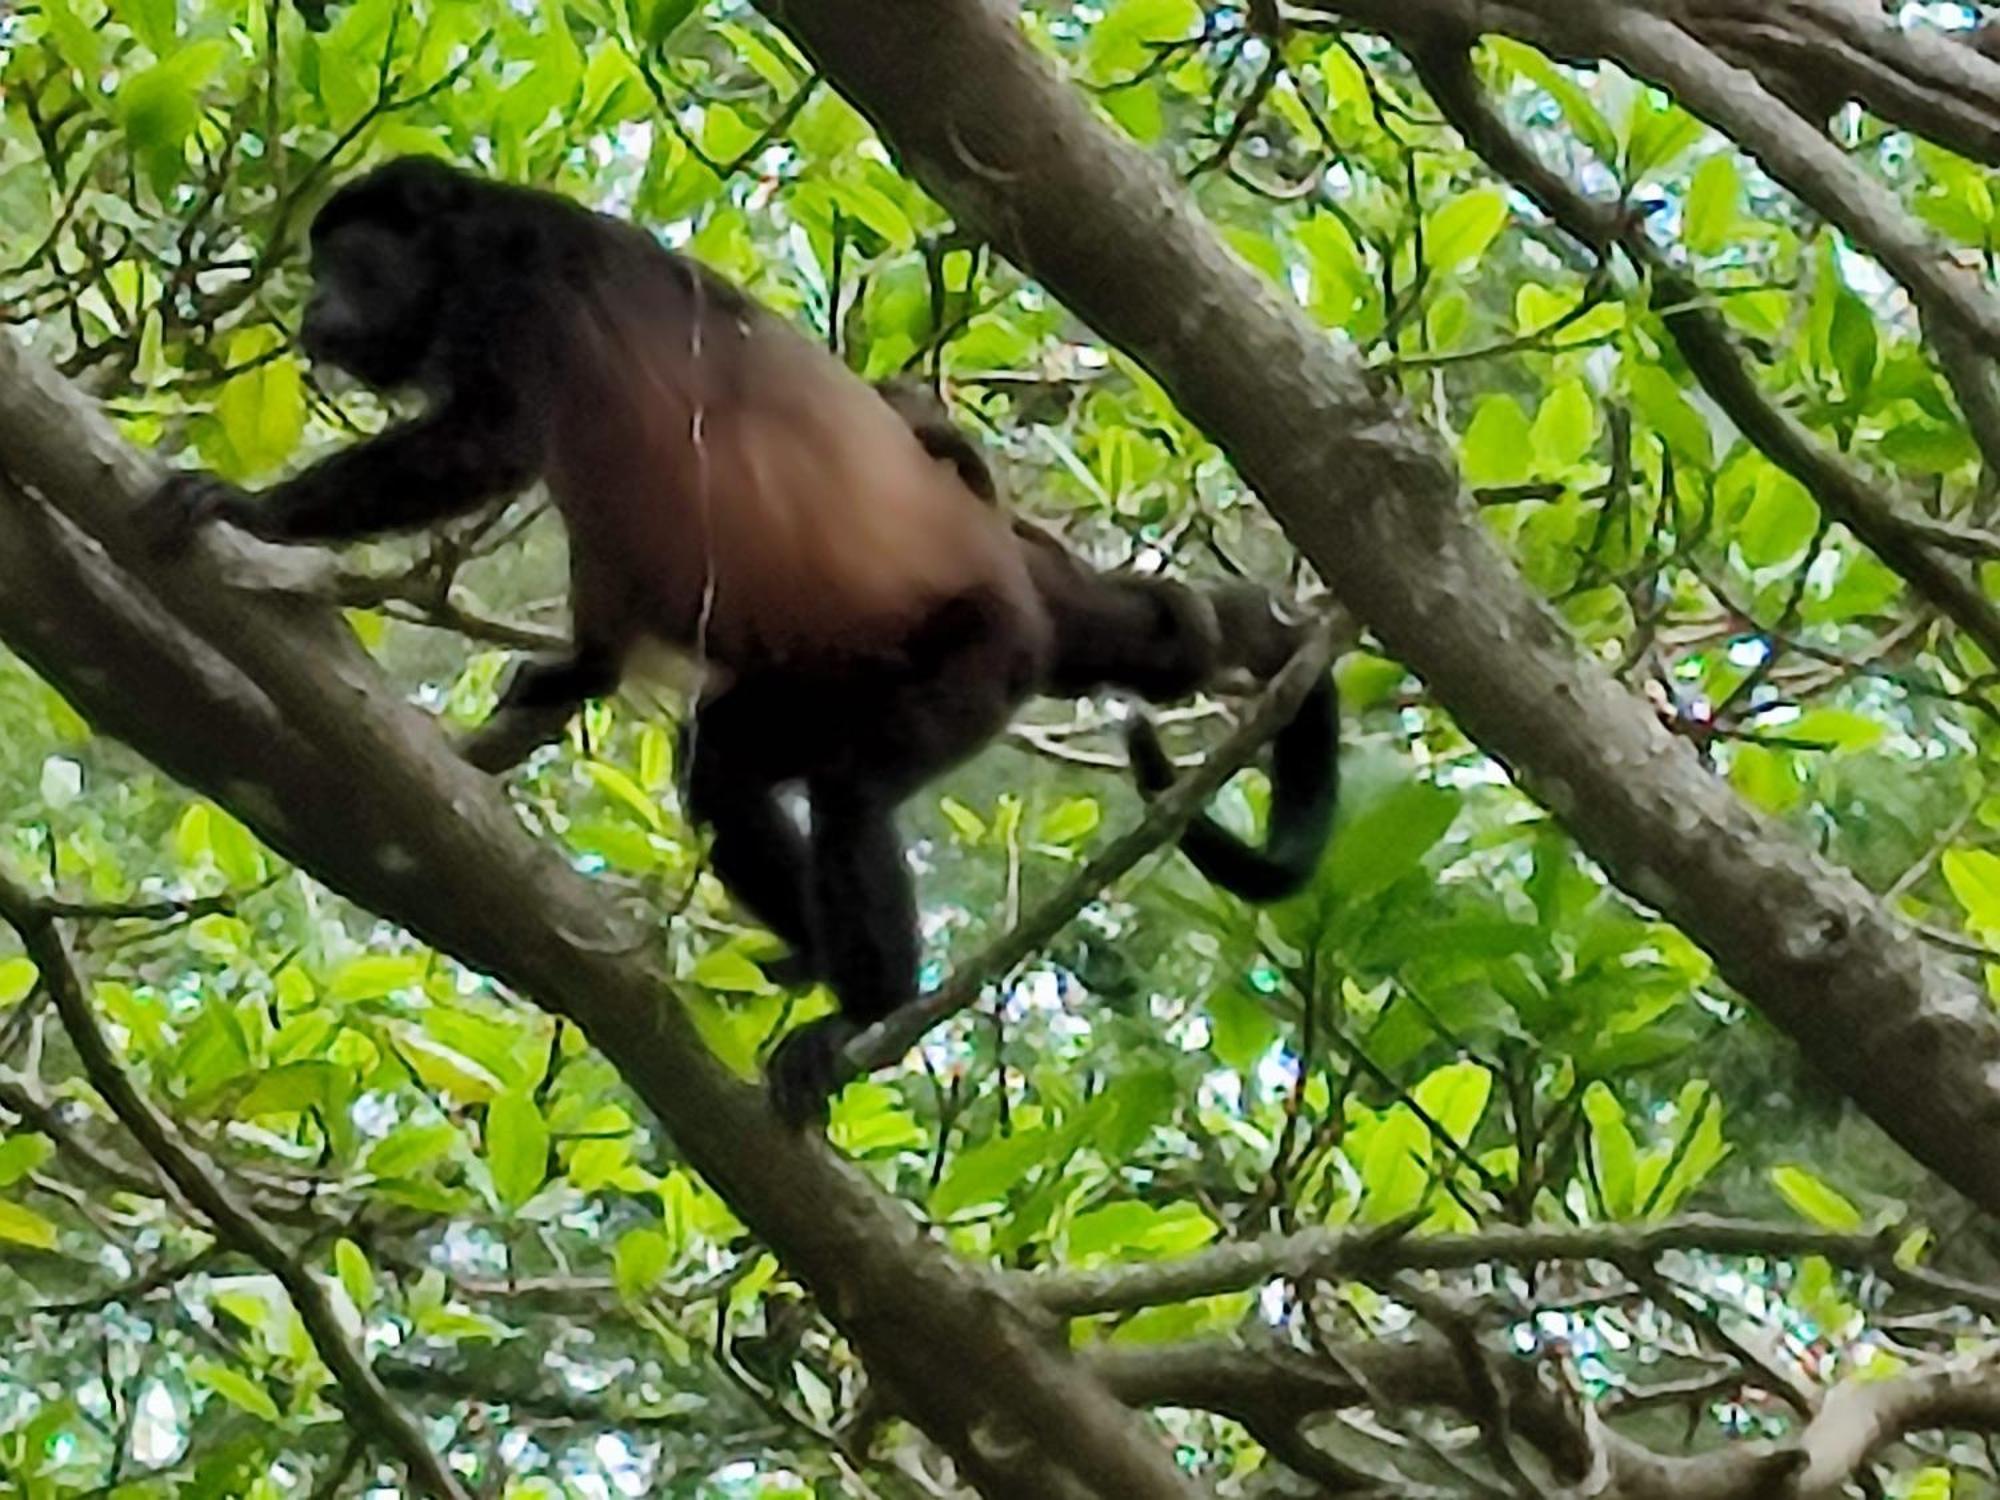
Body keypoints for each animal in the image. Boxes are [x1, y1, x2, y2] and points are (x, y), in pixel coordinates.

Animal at [140, 156, 1337, 1126]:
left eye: (347, 262)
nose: (312, 308)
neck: (468, 246)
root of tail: (1017, 580)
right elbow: (607, 557)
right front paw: (575, 673)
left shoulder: (514, 290)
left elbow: (485, 445)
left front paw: (252, 514)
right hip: (823, 668)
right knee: (724, 764)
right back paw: (804, 946)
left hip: (969, 658)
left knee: (849, 791)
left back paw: (866, 1010)